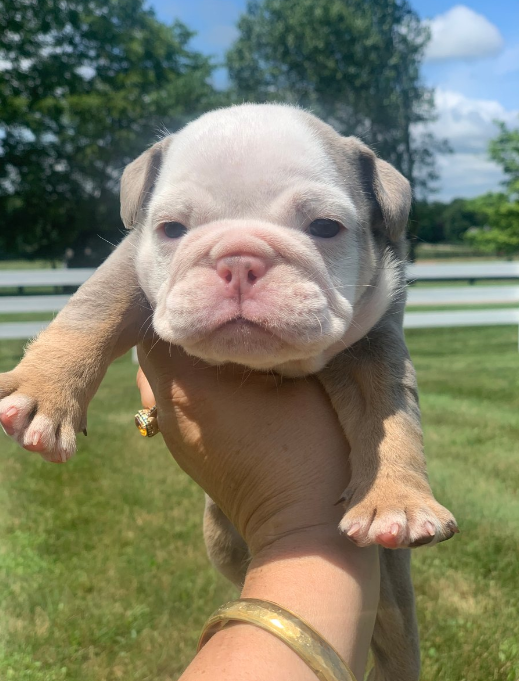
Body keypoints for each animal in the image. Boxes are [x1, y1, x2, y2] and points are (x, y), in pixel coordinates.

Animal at [0, 102, 458, 680]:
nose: (239, 259)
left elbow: (389, 418)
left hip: (393, 591)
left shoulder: (375, 343)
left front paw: (396, 499)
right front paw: (43, 392)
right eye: (172, 228)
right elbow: (93, 307)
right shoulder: (129, 262)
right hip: (220, 537)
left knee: (396, 641)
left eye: (325, 227)